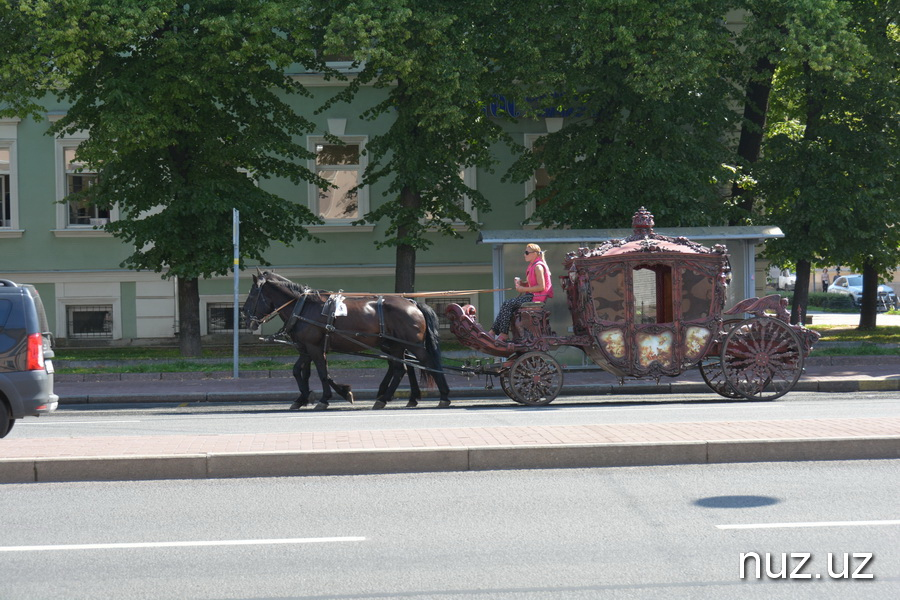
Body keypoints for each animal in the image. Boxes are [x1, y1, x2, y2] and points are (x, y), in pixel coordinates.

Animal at [243, 270, 450, 408]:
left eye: (252, 294)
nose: (244, 316)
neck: (304, 307)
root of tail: (412, 303)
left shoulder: (314, 348)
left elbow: (322, 372)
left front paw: (325, 398)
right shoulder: (306, 348)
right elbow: (300, 371)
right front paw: (304, 397)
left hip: (413, 344)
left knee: (426, 363)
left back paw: (443, 396)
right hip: (397, 345)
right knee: (401, 368)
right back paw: (391, 397)